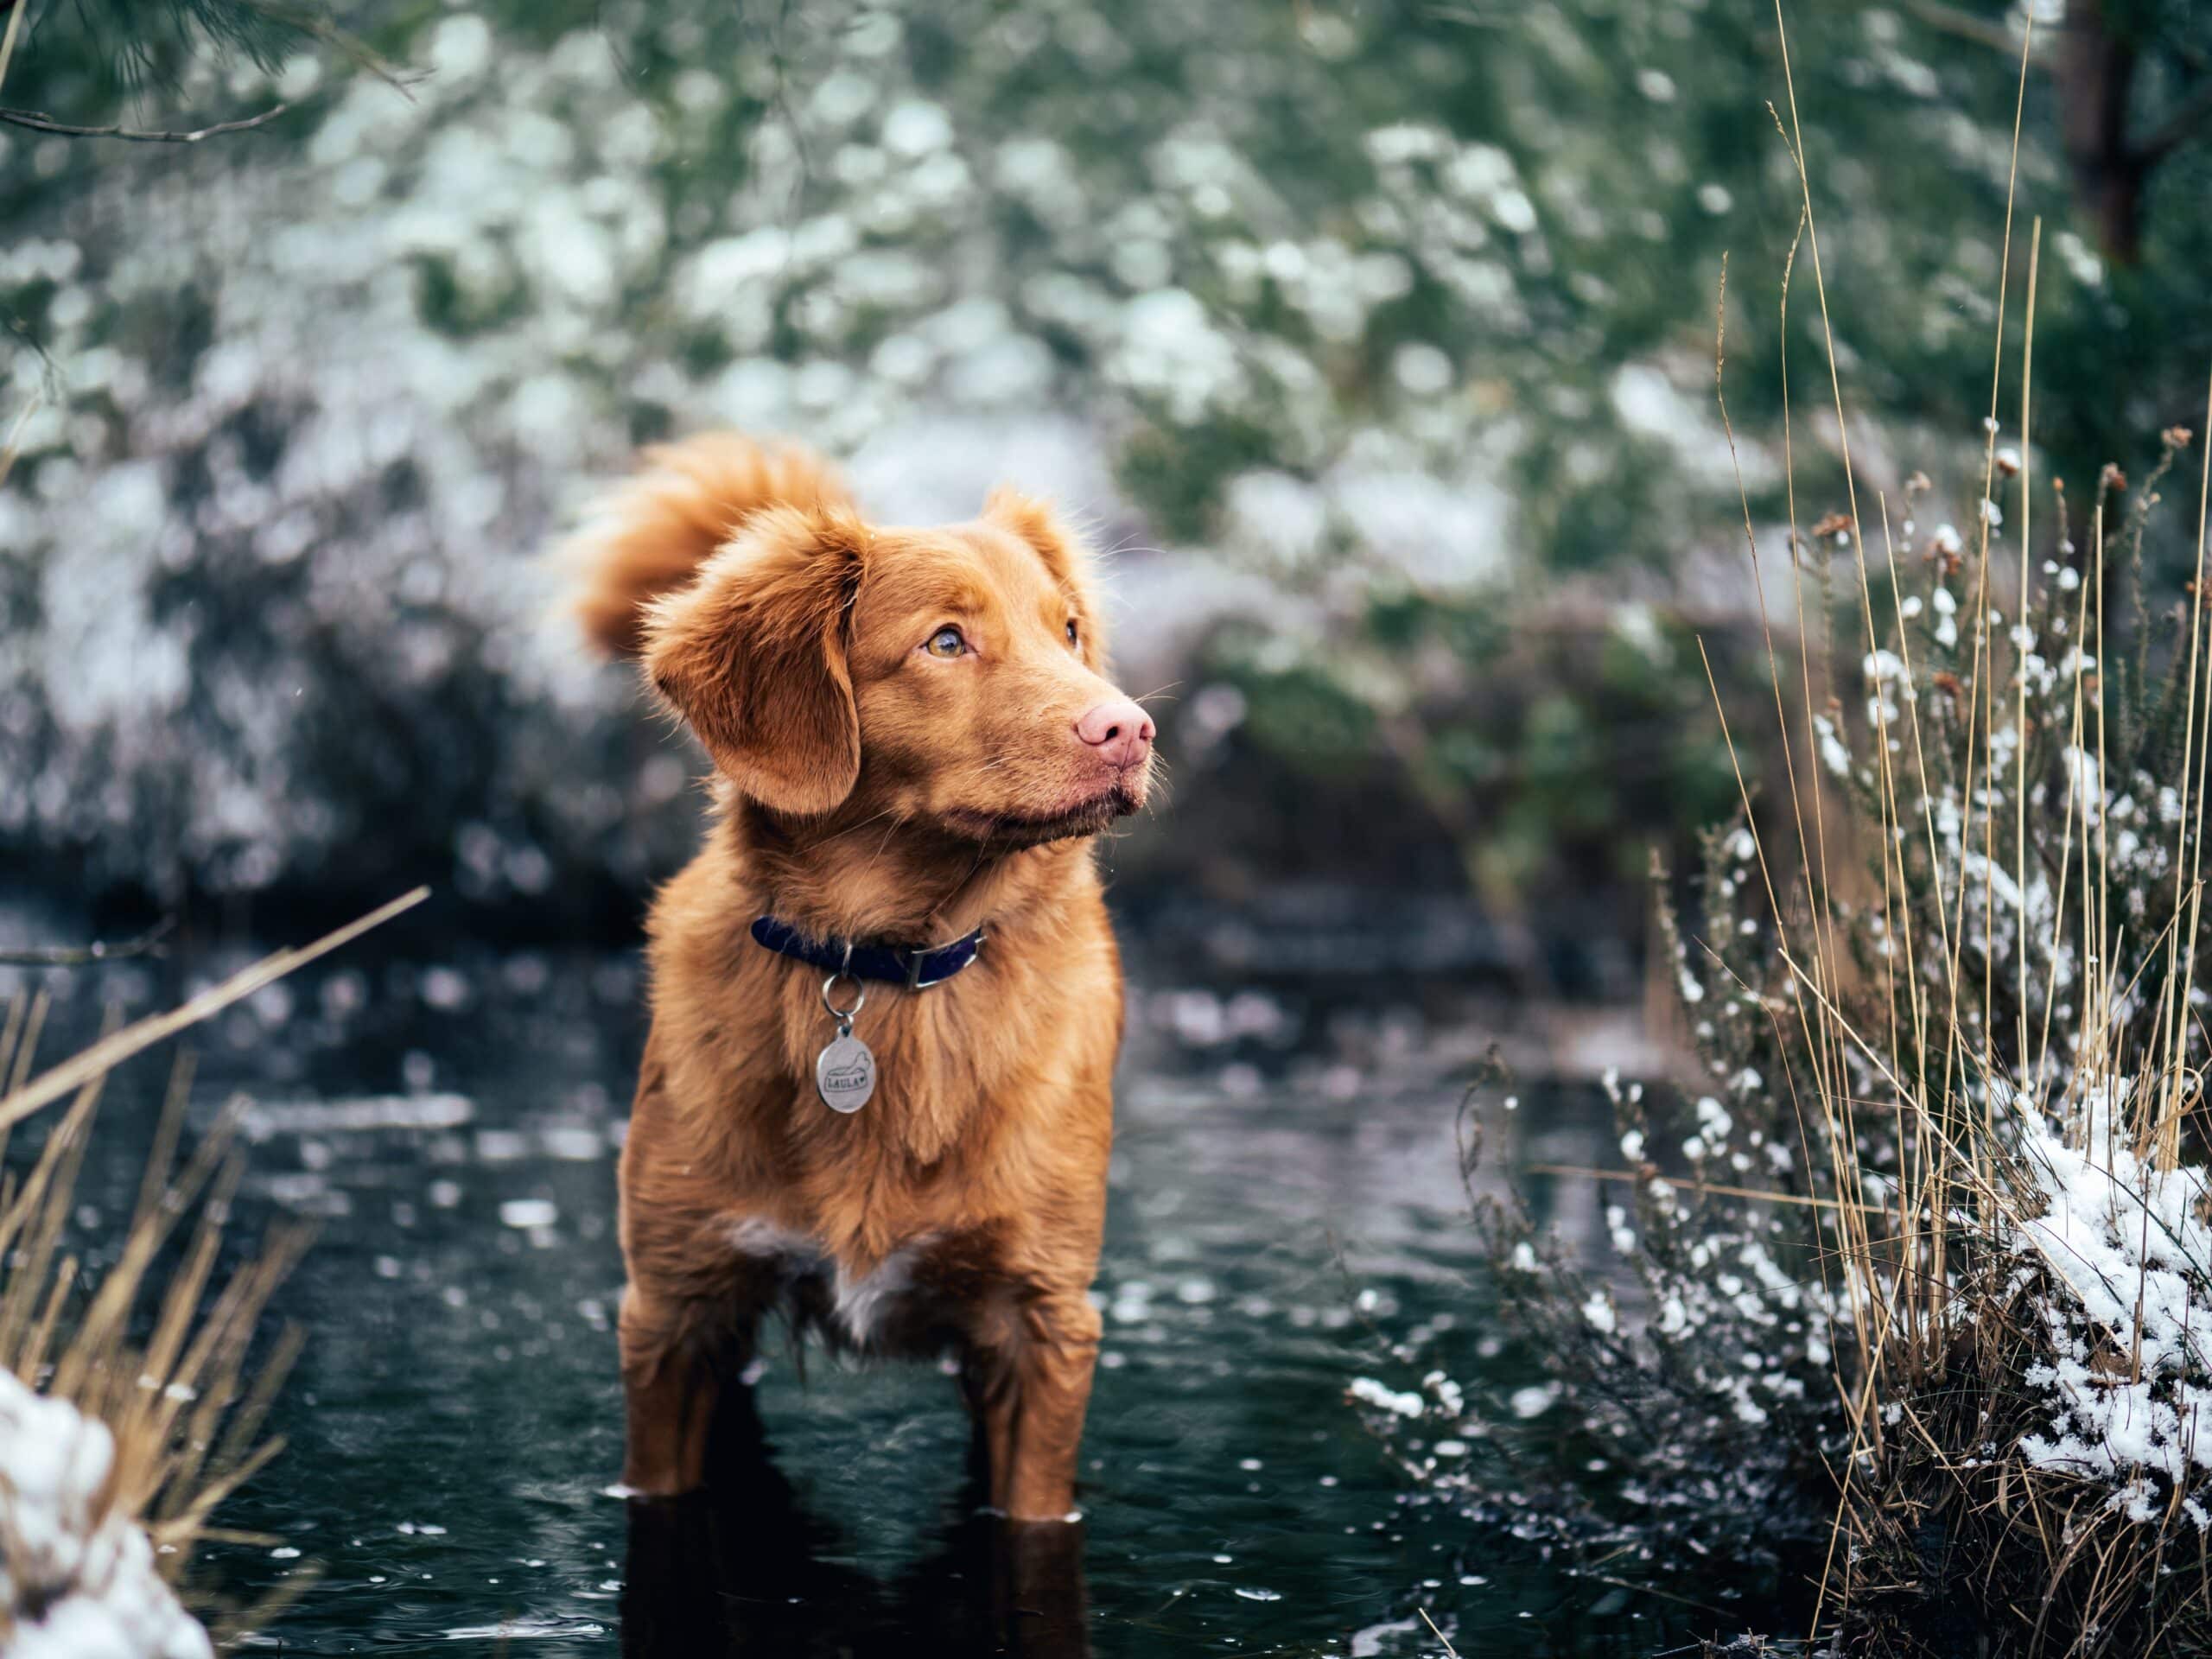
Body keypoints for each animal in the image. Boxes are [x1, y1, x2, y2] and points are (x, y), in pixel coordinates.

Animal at [566, 435, 1159, 1530]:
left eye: (1066, 631)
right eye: (946, 643)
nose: (1130, 731)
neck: (882, 967)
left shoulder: (1043, 1324)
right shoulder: (674, 1311)